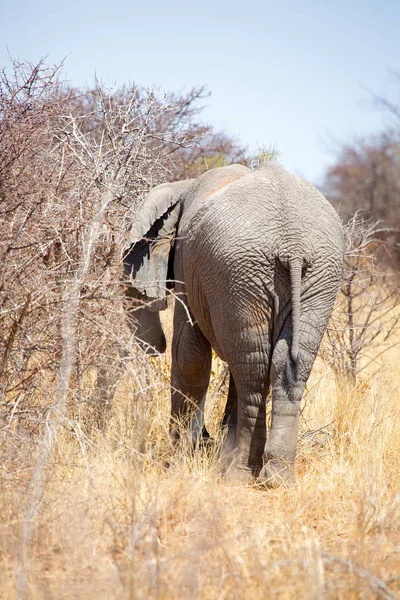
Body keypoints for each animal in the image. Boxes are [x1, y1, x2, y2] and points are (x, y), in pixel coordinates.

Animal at [122, 162, 344, 486]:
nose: (154, 345)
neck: (183, 186)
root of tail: (292, 244)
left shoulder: (189, 270)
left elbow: (188, 355)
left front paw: (177, 459)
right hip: (313, 275)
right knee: (281, 361)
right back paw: (276, 478)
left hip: (240, 272)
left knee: (253, 369)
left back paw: (239, 474)